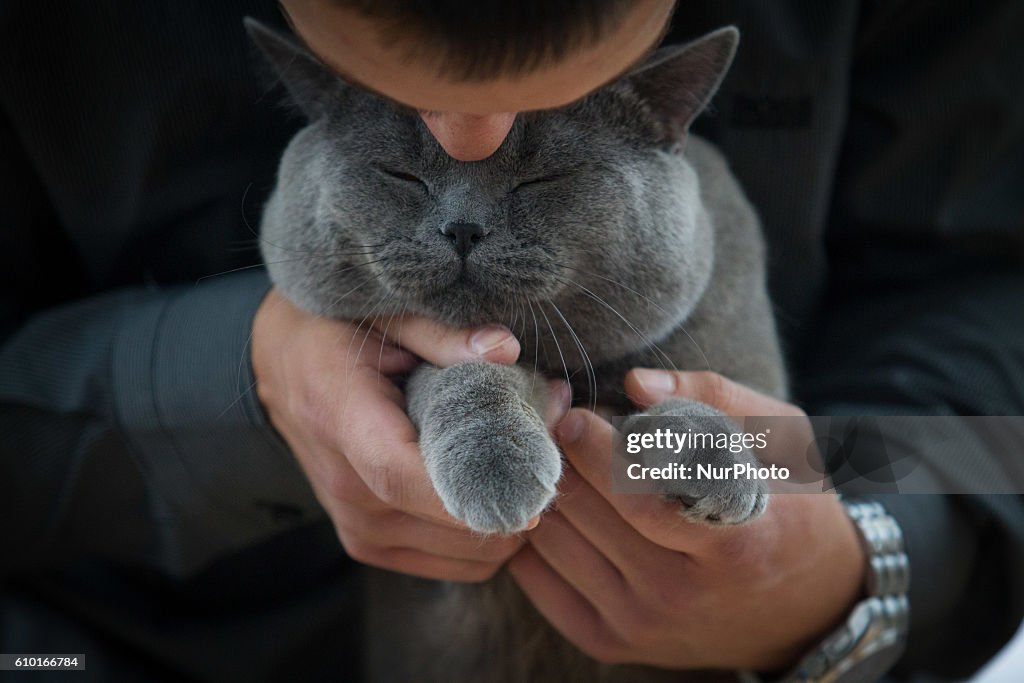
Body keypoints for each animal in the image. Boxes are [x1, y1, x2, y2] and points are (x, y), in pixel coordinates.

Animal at [245, 18, 782, 683]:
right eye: (400, 174)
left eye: (542, 178)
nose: (462, 227)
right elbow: (465, 373)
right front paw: (499, 467)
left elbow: (684, 390)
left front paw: (718, 461)